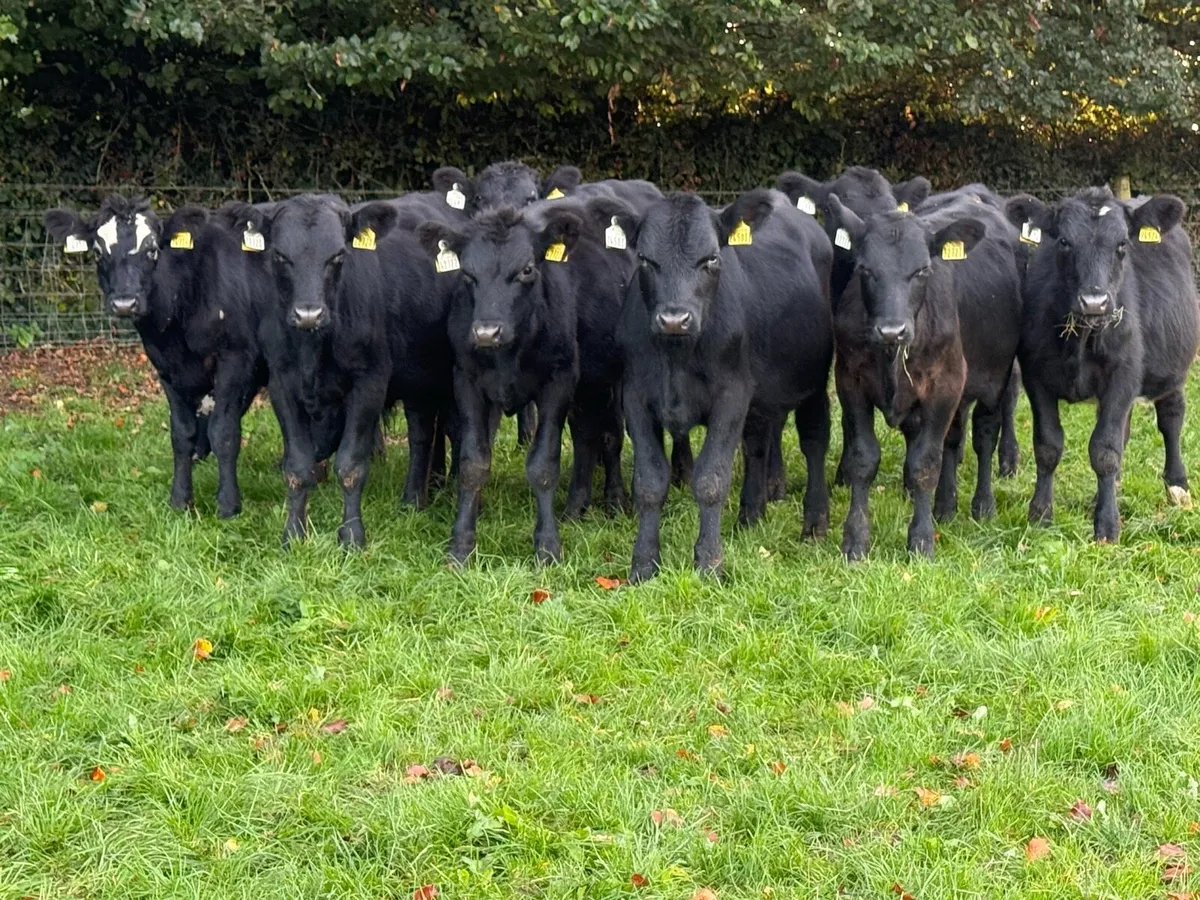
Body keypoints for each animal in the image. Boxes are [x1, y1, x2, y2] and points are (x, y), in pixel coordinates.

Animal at [44, 196, 267, 518]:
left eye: (152, 250)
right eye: (97, 252)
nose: (125, 303)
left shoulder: (234, 359)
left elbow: (224, 432)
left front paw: (228, 505)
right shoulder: (166, 367)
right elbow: (182, 434)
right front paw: (180, 500)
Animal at [415, 196, 632, 564]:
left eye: (527, 270)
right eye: (467, 273)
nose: (486, 332)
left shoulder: (558, 381)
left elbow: (543, 464)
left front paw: (547, 546)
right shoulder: (467, 381)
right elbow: (474, 462)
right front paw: (461, 544)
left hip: (608, 380)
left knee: (610, 435)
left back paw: (615, 501)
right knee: (586, 437)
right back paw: (574, 508)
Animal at [616, 189, 833, 582]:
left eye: (711, 258)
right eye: (644, 259)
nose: (674, 319)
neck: (676, 355)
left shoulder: (731, 396)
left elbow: (711, 479)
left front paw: (709, 563)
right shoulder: (635, 397)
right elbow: (650, 482)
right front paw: (643, 564)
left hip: (814, 382)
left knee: (814, 442)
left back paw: (814, 523)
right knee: (757, 446)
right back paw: (751, 515)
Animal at [820, 196, 1013, 560]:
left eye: (922, 270)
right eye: (865, 269)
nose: (891, 330)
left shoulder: (946, 385)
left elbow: (925, 463)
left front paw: (921, 539)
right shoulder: (849, 379)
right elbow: (863, 459)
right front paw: (855, 538)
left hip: (996, 377)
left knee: (983, 436)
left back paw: (982, 505)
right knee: (952, 440)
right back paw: (944, 505)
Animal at [1004, 187, 1200, 542]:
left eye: (1122, 244)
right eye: (1063, 241)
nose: (1094, 302)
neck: (1081, 338)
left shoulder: (1122, 377)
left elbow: (1105, 451)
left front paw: (1107, 526)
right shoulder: (1036, 377)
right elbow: (1048, 445)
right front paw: (1040, 514)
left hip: (1174, 367)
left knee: (1171, 418)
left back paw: (1177, 487)